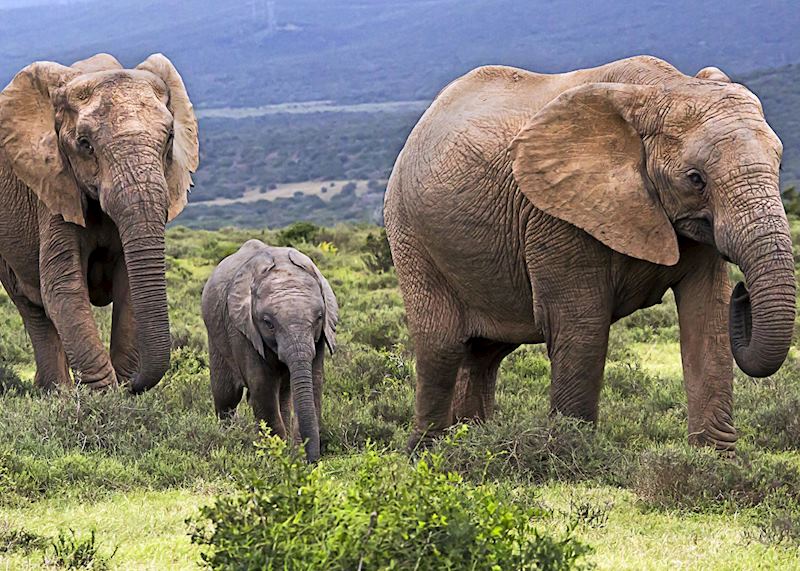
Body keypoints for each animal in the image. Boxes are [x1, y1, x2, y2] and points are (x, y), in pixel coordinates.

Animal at [0, 53, 198, 392]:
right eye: (85, 144)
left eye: (170, 138)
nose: (132, 384)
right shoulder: (54, 186)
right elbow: (63, 287)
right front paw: (104, 395)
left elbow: (129, 284)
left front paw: (123, 389)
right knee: (31, 305)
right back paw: (57, 392)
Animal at [201, 240, 338, 463]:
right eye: (268, 323)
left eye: (319, 317)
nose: (311, 461)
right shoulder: (242, 329)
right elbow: (262, 386)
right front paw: (277, 457)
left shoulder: (319, 338)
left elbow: (315, 382)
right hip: (215, 333)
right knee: (227, 395)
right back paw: (227, 438)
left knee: (283, 395)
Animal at [384, 56, 795, 452]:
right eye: (696, 179)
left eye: (778, 164)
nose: (744, 292)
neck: (661, 89)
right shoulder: (557, 214)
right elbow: (582, 325)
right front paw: (572, 452)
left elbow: (707, 318)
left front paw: (716, 462)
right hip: (410, 233)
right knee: (441, 346)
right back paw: (429, 453)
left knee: (484, 354)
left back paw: (472, 443)